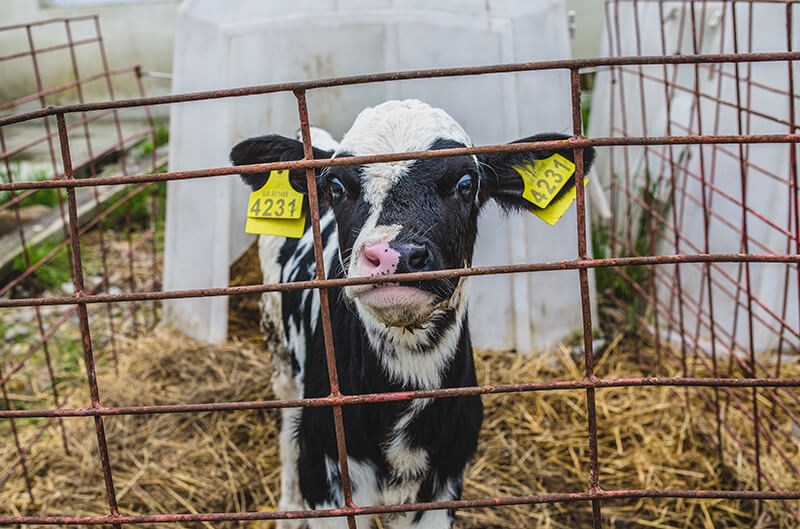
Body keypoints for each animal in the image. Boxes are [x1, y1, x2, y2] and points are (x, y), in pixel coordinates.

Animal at [231, 99, 592, 528]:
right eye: (336, 187)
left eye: (465, 183)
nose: (394, 255)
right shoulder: (325, 472)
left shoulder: (444, 479)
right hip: (278, 342)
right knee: (288, 425)